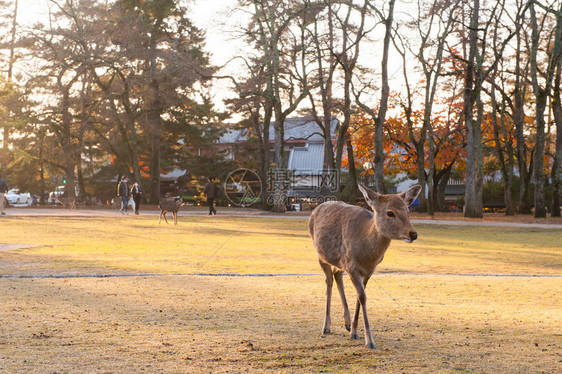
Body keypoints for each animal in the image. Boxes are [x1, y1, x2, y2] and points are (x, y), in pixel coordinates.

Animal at [306, 183, 420, 350]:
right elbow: (362, 297)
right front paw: (370, 341)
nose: (413, 234)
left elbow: (360, 297)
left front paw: (354, 331)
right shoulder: (352, 267)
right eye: (390, 213)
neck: (367, 256)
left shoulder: (368, 271)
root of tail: (315, 209)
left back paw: (347, 323)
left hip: (340, 262)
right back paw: (326, 326)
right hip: (321, 256)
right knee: (329, 281)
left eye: (408, 210)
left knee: (337, 275)